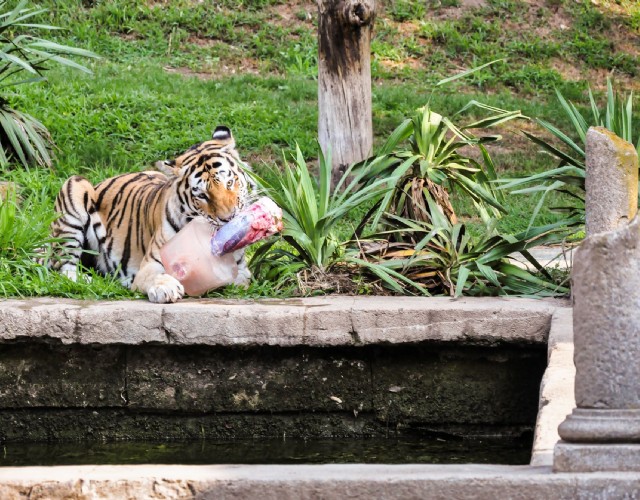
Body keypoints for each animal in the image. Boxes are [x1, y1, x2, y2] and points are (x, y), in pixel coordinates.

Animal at [48, 127, 256, 302]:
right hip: (75, 185)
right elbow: (156, 276)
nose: (228, 219)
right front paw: (166, 288)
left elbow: (238, 280)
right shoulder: (150, 264)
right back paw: (90, 280)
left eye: (229, 183)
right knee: (63, 269)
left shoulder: (241, 272)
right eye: (202, 195)